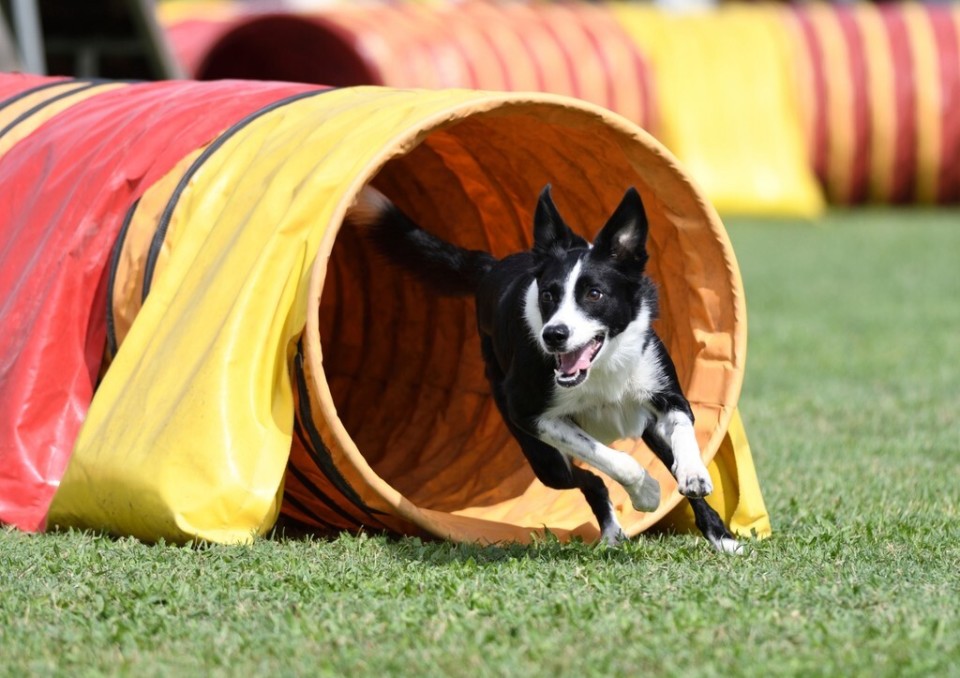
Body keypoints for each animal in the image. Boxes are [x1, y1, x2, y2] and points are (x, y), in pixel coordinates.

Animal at [348, 183, 740, 556]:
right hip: (542, 458)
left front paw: (696, 481)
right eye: (548, 295)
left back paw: (716, 536)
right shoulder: (530, 415)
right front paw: (647, 492)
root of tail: (492, 267)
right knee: (591, 481)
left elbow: (684, 436)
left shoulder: (665, 394)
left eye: (595, 294)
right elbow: (615, 461)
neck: (602, 368)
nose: (553, 335)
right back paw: (613, 531)